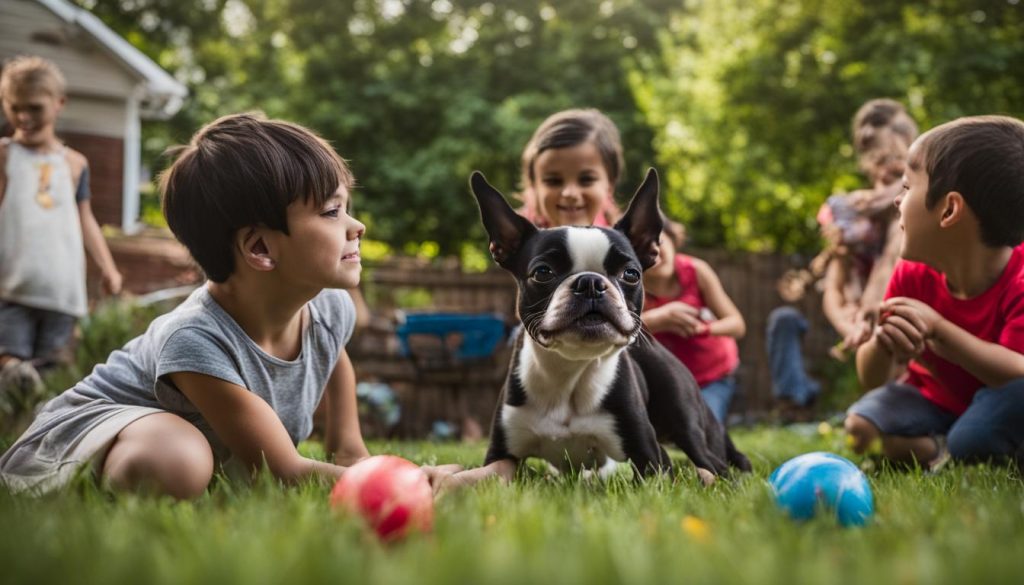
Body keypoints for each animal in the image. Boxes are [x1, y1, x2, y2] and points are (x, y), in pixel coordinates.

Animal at [462, 168, 753, 485]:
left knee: (714, 464)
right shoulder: (501, 453)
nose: (590, 282)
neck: (571, 370)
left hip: (685, 422)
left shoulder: (650, 459)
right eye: (542, 272)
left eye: (631, 274)